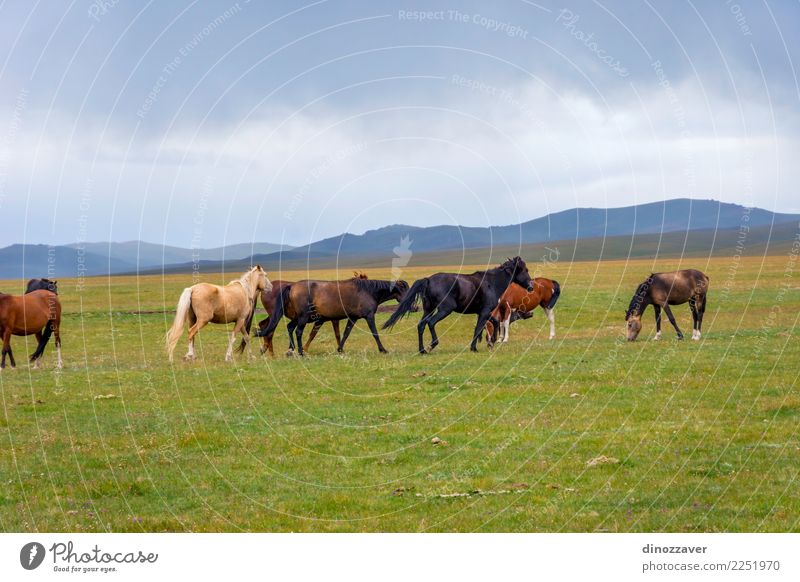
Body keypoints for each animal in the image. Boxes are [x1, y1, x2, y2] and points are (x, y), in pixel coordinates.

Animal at [255, 278, 410, 356]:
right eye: (405, 290)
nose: (413, 307)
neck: (369, 291)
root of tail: (291, 286)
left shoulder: (353, 318)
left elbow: (345, 334)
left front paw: (340, 349)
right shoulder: (369, 316)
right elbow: (375, 333)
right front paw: (383, 349)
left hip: (297, 318)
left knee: (289, 328)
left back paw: (290, 350)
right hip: (302, 318)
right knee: (297, 331)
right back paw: (299, 352)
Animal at [384, 258, 536, 354]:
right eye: (525, 270)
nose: (531, 287)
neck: (492, 283)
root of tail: (428, 280)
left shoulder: (483, 312)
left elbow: (494, 323)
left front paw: (491, 342)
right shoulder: (485, 311)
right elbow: (479, 329)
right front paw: (475, 348)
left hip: (429, 309)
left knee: (421, 325)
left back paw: (422, 350)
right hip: (445, 309)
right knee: (431, 323)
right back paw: (432, 345)